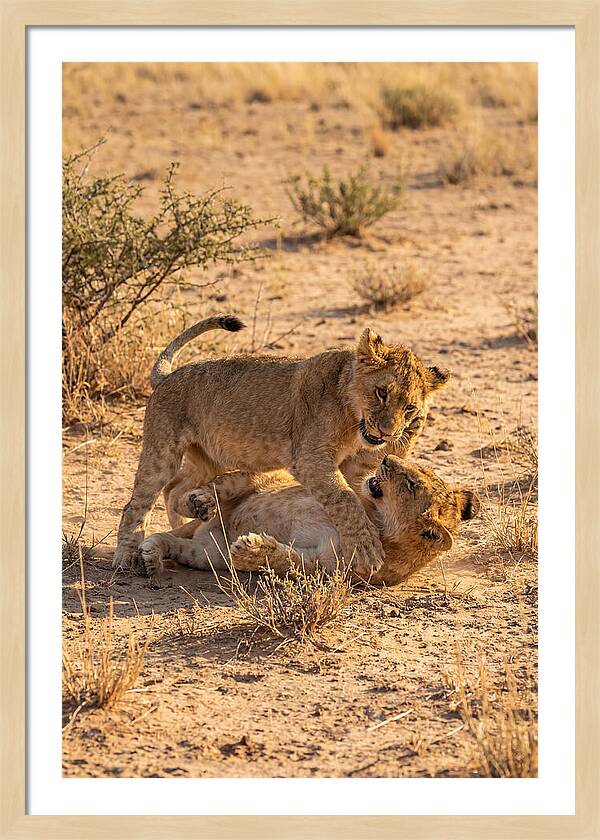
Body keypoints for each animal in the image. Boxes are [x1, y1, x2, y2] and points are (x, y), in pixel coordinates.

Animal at [113, 315, 449, 576]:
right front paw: (367, 548)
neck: (353, 419)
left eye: (409, 408)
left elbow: (359, 488)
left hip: (209, 458)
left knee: (175, 489)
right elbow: (345, 500)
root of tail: (168, 376)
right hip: (162, 451)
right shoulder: (311, 459)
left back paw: (192, 515)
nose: (388, 432)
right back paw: (126, 556)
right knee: (137, 504)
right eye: (381, 392)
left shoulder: (356, 466)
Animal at [139, 455, 479, 586]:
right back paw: (198, 502)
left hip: (208, 554)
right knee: (230, 482)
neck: (376, 519)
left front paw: (251, 549)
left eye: (411, 484)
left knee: (174, 543)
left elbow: (287, 560)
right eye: (416, 470)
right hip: (259, 482)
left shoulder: (323, 567)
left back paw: (151, 556)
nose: (385, 458)